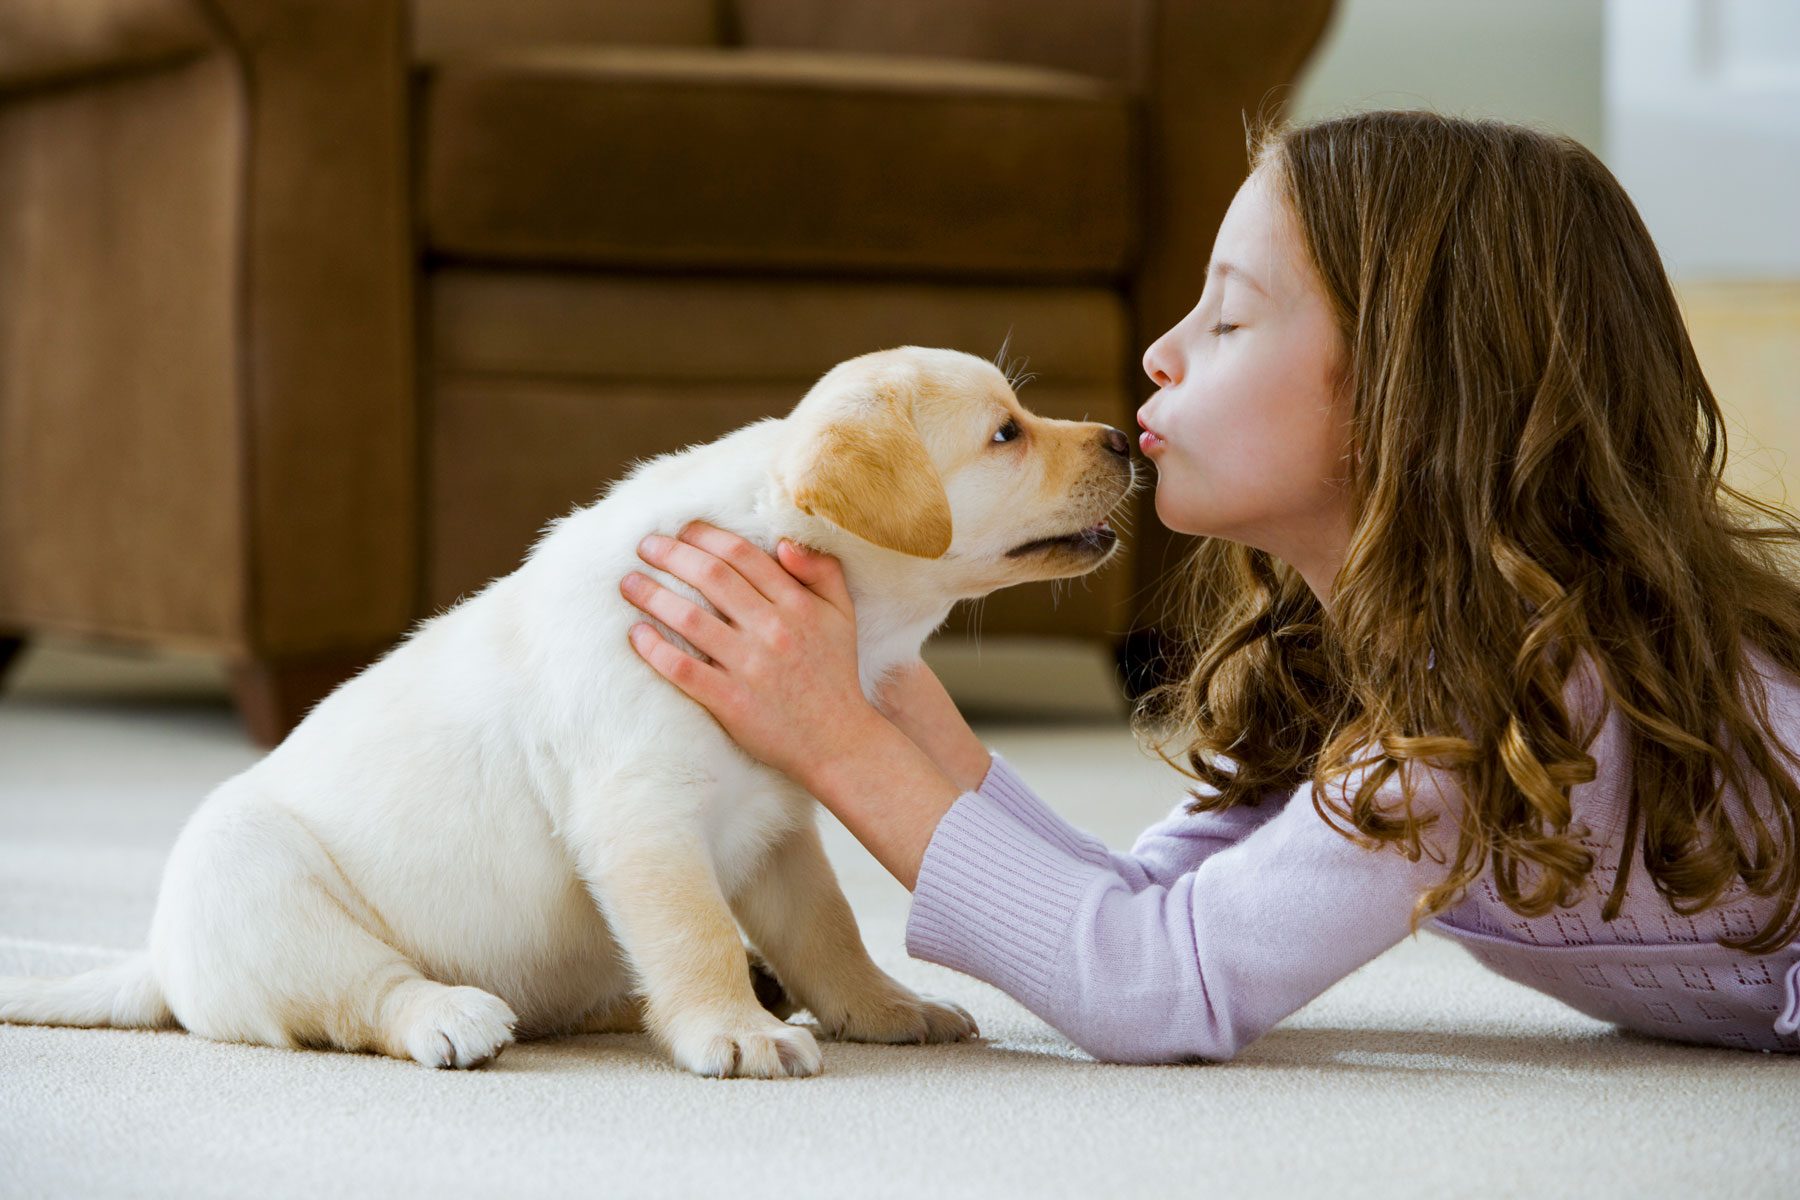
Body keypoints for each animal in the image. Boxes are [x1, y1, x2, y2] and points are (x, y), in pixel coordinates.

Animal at [3, 345, 1137, 1079]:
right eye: (1005, 433)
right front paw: (733, 1030)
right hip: (259, 880)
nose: (1125, 438)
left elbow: (829, 931)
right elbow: (694, 930)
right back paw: (454, 1014)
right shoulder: (641, 815)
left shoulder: (779, 827)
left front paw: (883, 1008)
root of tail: (161, 963)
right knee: (363, 995)